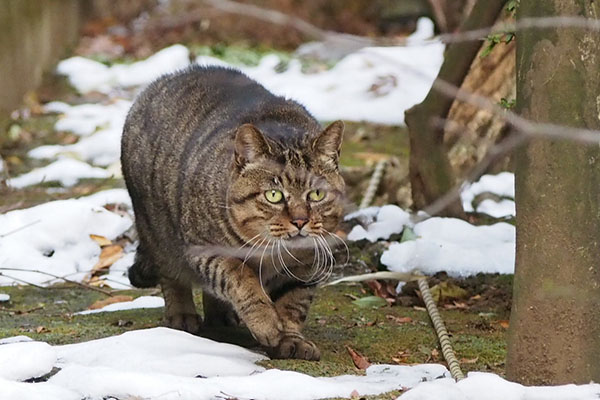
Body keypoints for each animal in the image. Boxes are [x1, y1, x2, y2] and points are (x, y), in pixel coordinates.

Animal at [120, 65, 346, 360]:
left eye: (316, 194)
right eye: (274, 195)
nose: (300, 221)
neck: (272, 254)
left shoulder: (305, 265)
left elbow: (293, 304)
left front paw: (290, 340)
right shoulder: (206, 249)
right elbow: (240, 278)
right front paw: (265, 322)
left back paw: (222, 318)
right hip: (157, 233)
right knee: (171, 276)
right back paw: (182, 316)